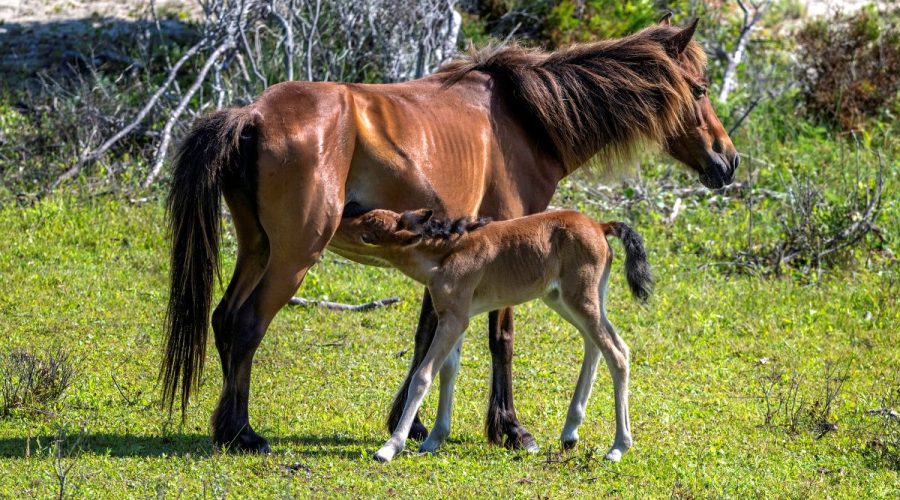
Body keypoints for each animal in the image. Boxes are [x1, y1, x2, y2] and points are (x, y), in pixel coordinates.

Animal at [338, 207, 652, 462]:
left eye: (370, 226)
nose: (339, 221)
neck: (446, 254)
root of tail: (599, 225)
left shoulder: (454, 320)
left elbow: (423, 376)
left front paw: (391, 447)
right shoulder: (456, 318)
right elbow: (448, 370)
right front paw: (434, 439)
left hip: (580, 300)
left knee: (618, 352)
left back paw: (618, 447)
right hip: (564, 299)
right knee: (594, 344)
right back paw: (570, 432)